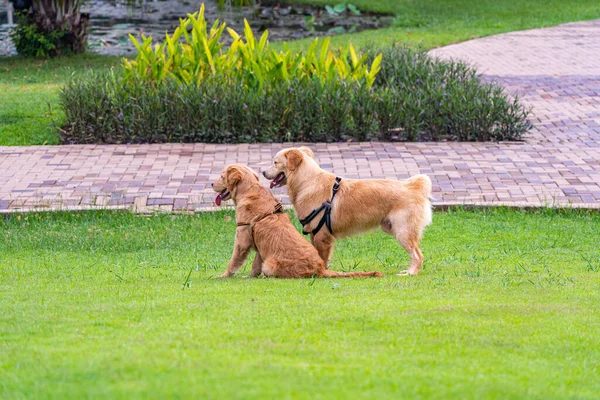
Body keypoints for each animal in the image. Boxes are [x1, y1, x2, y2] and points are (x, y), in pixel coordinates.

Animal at [211, 164, 384, 280]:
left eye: (222, 176)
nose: (211, 184)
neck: (250, 190)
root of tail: (320, 269)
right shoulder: (260, 249)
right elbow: (255, 265)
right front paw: (250, 276)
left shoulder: (242, 240)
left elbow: (233, 262)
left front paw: (223, 275)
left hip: (270, 264)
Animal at [262, 147, 432, 276]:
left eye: (275, 162)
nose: (263, 172)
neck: (307, 181)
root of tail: (413, 187)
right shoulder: (314, 234)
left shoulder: (322, 235)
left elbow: (322, 259)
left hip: (403, 232)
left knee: (418, 255)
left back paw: (410, 273)